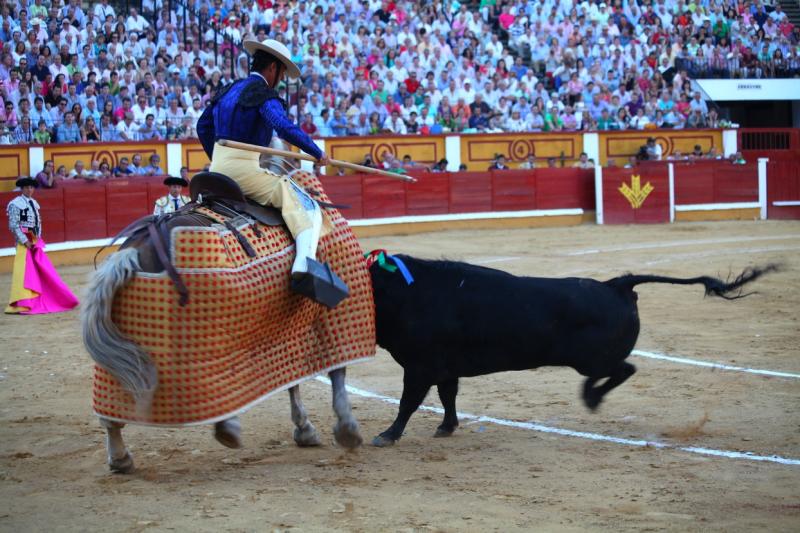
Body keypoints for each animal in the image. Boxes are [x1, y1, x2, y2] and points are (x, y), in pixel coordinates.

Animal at [83, 169, 376, 470]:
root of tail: (135, 251)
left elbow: (292, 378)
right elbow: (337, 372)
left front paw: (305, 429)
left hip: (123, 347)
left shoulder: (287, 329)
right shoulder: (336, 309)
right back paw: (227, 429)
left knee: (113, 404)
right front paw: (347, 430)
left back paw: (120, 457)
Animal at [368, 254, 776, 444]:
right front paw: (446, 427)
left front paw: (388, 435)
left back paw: (592, 397)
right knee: (619, 371)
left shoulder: (419, 366)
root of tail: (616, 284)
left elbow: (409, 402)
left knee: (622, 370)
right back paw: (592, 396)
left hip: (592, 358)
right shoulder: (443, 366)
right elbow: (448, 396)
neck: (404, 293)